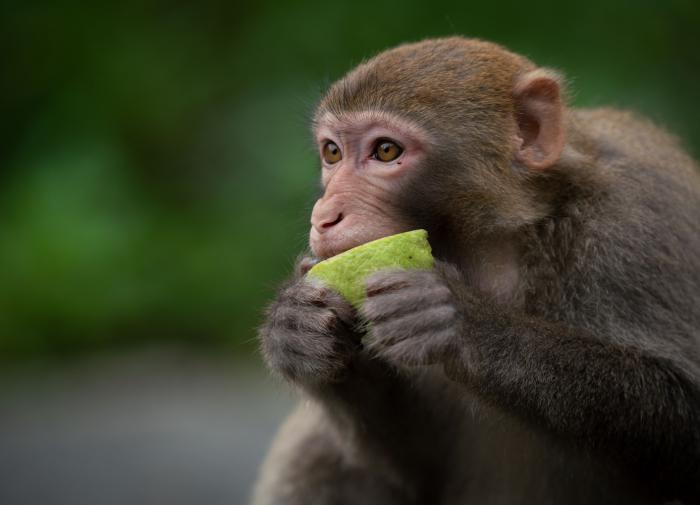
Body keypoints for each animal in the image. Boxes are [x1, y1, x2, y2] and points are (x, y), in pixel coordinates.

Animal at [250, 36, 700, 504]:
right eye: (332, 152)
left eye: (386, 151)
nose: (324, 216)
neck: (498, 245)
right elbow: (417, 466)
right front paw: (294, 326)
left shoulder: (641, 221)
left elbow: (686, 418)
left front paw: (459, 320)